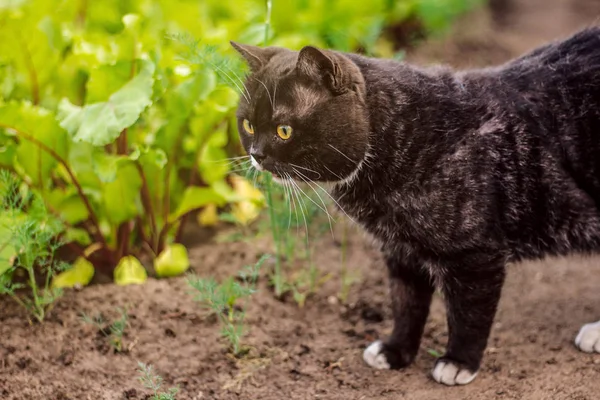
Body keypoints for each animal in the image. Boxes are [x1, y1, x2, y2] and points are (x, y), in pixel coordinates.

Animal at [230, 26, 600, 386]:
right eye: (248, 124)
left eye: (284, 130)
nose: (257, 154)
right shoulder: (401, 250)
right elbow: (406, 304)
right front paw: (396, 351)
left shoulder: (477, 255)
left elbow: (468, 313)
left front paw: (458, 363)